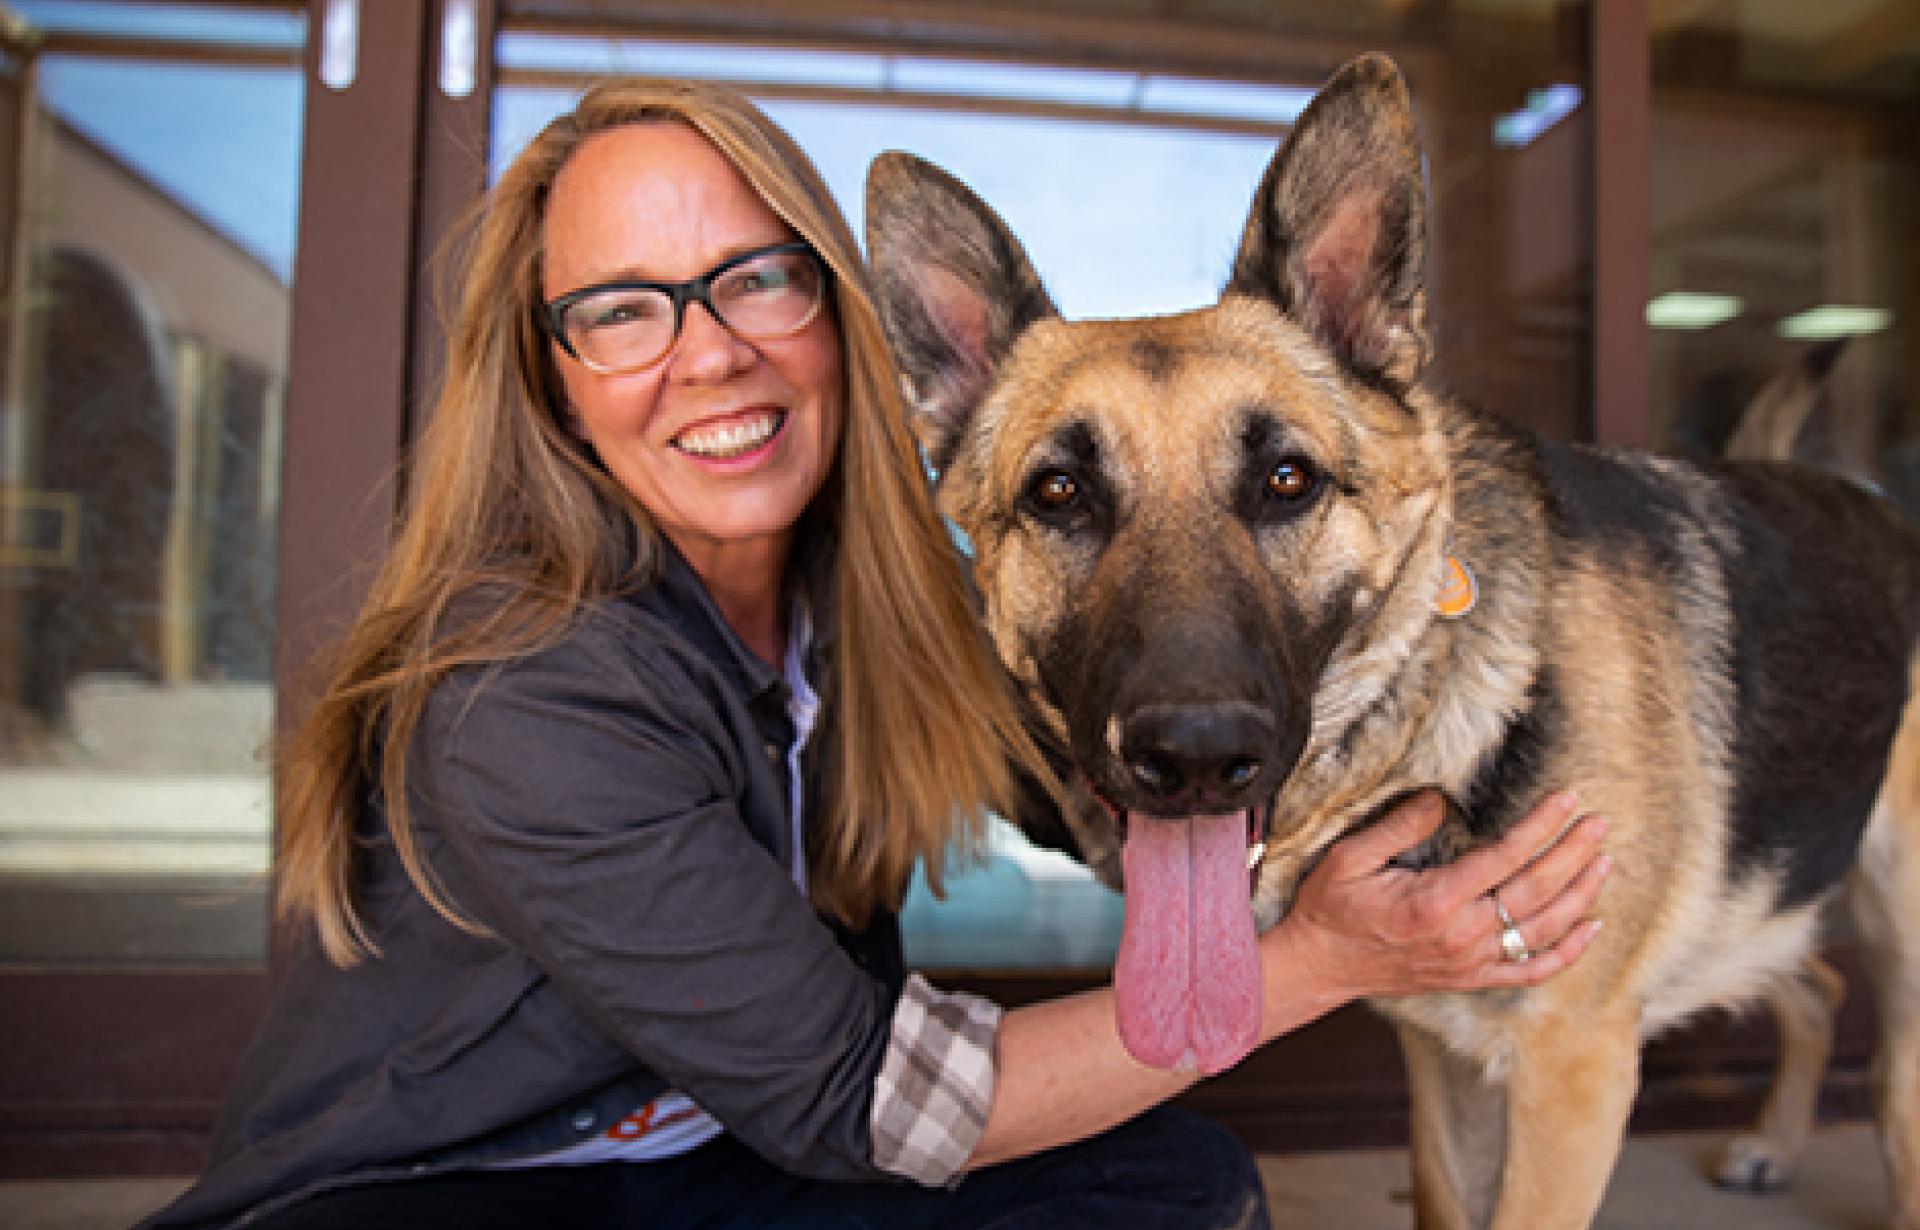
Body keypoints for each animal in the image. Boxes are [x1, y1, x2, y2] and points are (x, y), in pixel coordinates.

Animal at [867, 52, 1920, 1220]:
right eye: (1059, 493)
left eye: (1288, 480)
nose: (1194, 759)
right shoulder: (1443, 1057)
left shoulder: (1574, 1076)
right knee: (1817, 985)